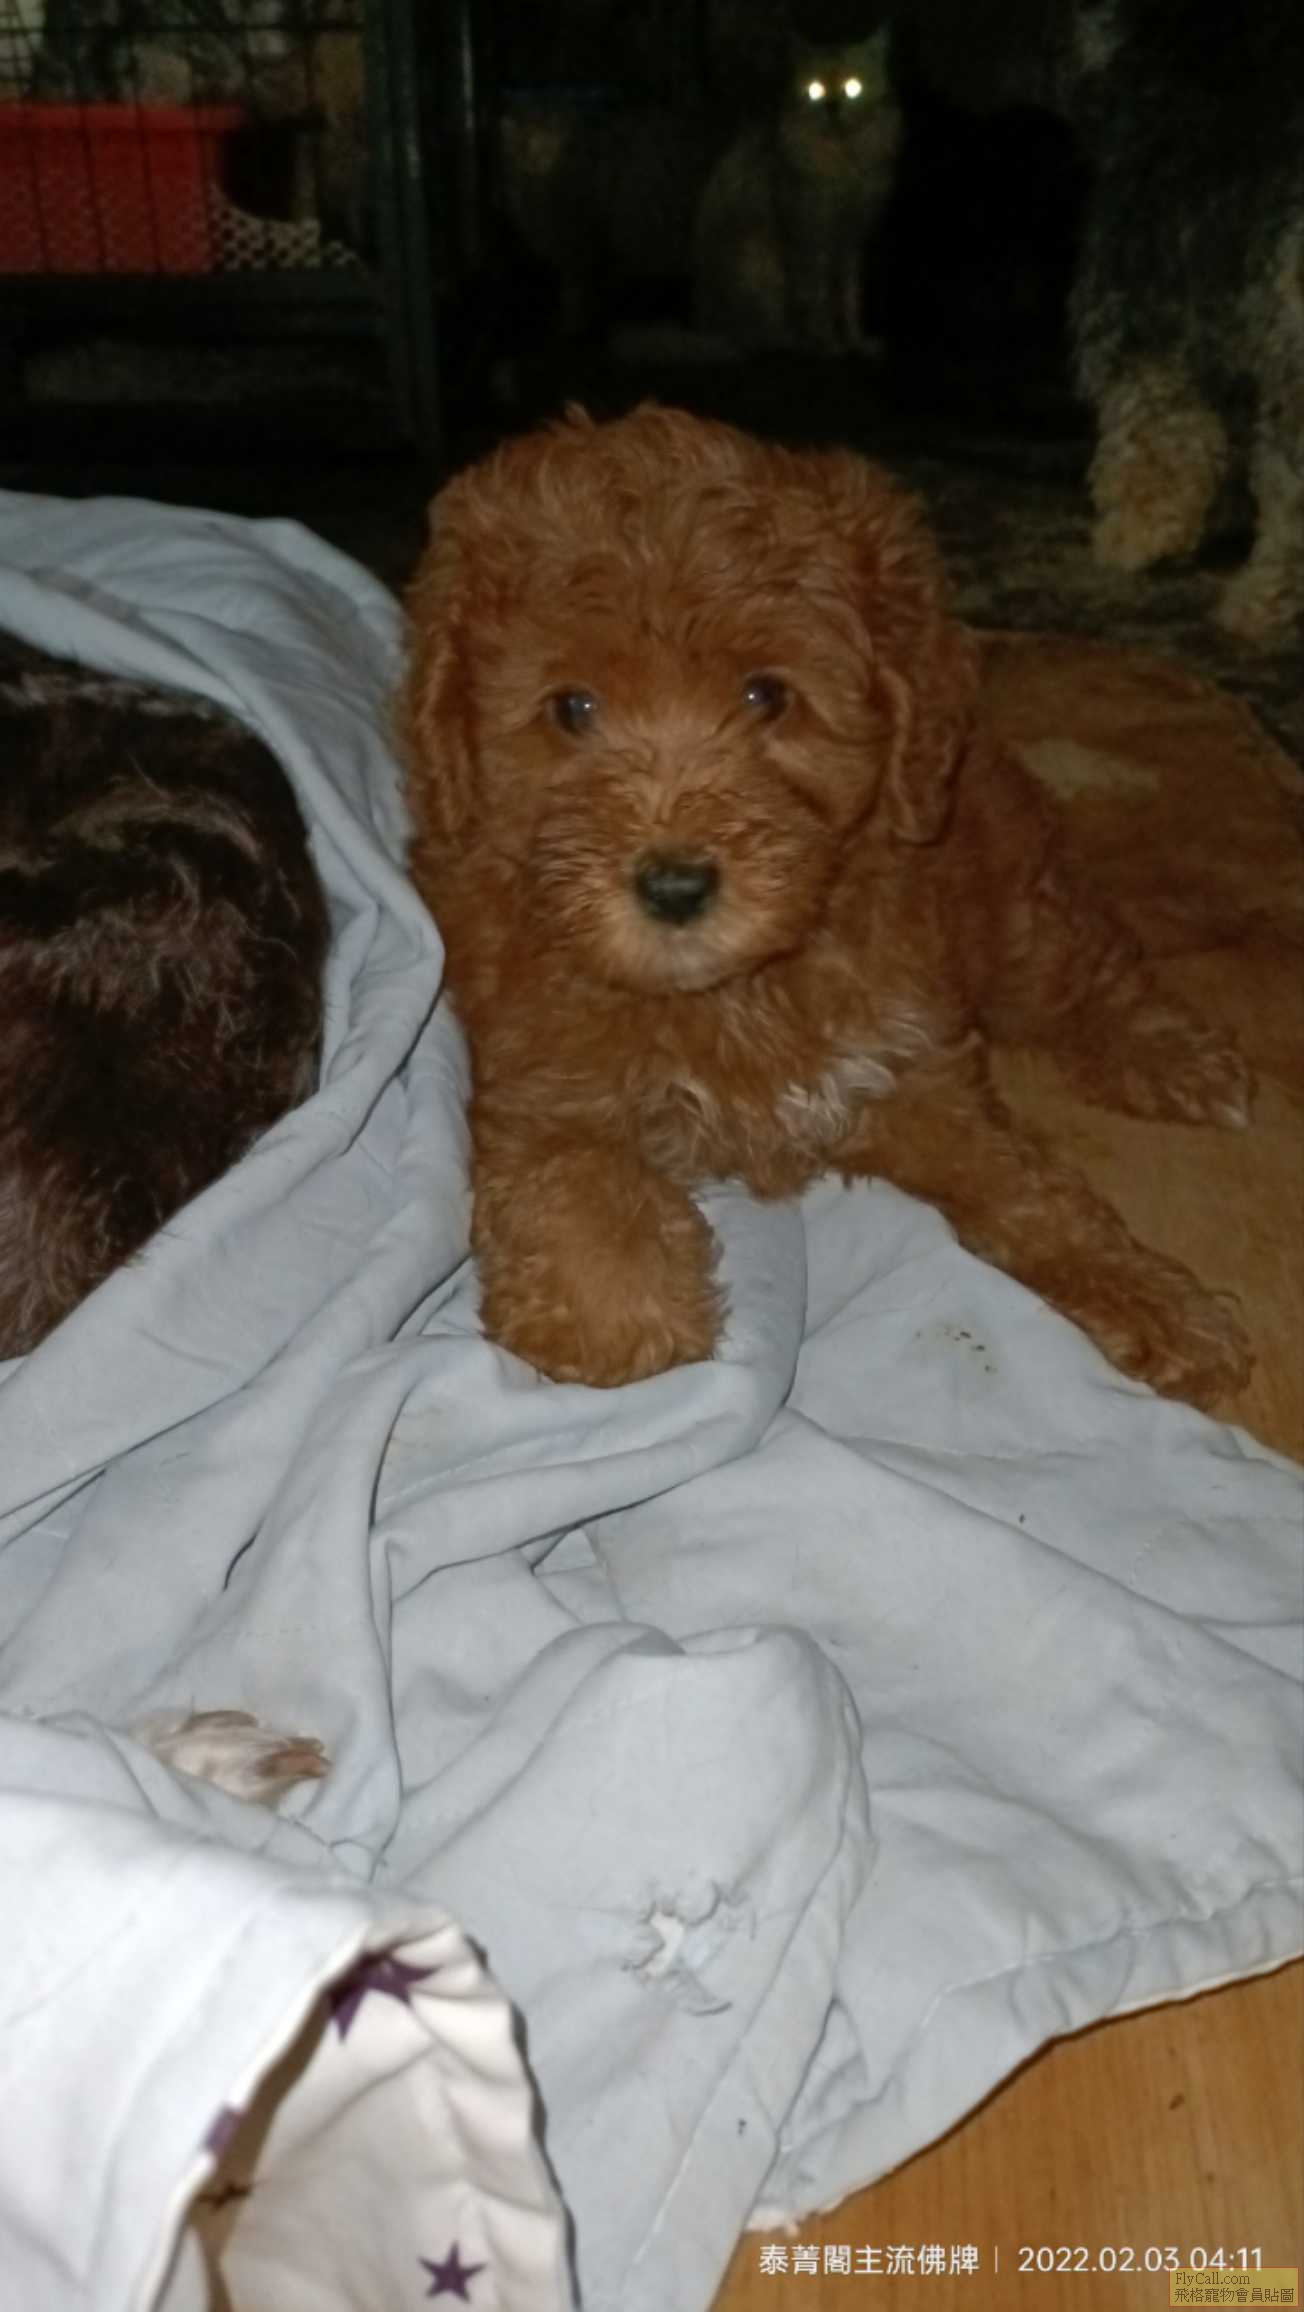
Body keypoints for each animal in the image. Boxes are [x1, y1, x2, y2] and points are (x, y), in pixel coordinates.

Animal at [403, 403, 1253, 1408]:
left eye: (767, 694)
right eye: (571, 708)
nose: (675, 886)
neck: (732, 993)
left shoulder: (909, 1068)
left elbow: (1032, 1196)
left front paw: (1156, 1299)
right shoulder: (538, 1079)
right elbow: (574, 1173)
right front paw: (613, 1316)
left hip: (1003, 897)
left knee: (1077, 972)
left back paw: (1177, 1059)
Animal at [692, 27, 902, 353]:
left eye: (853, 88)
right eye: (814, 90)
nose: (832, 108)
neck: (842, 158)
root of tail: (705, 325)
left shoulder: (850, 237)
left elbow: (849, 297)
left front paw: (854, 340)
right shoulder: (808, 232)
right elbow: (814, 297)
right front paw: (827, 343)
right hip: (758, 269)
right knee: (755, 333)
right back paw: (788, 340)